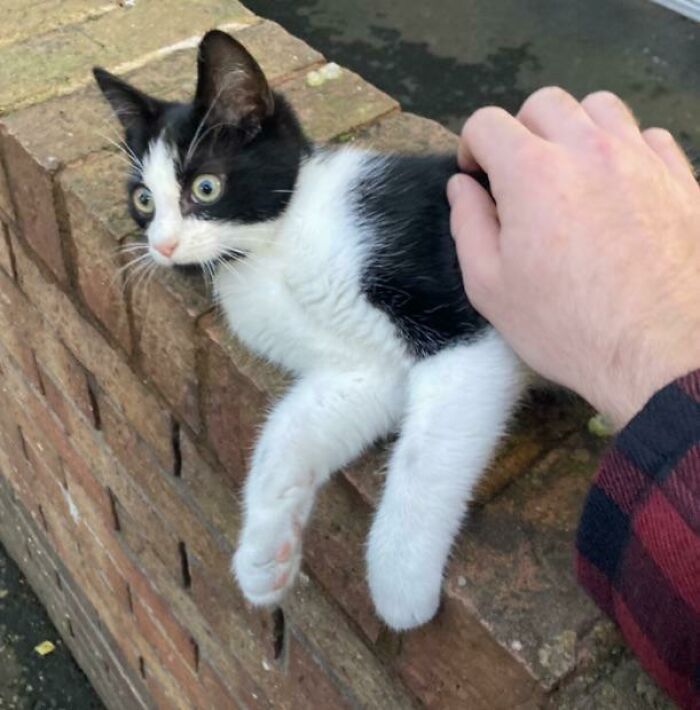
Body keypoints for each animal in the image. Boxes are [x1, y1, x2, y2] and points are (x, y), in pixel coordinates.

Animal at [97, 30, 524, 632]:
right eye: (142, 200)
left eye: (206, 187)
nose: (162, 245)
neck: (273, 250)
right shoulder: (365, 371)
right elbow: (291, 428)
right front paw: (262, 555)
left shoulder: (465, 320)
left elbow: (426, 452)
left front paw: (400, 583)